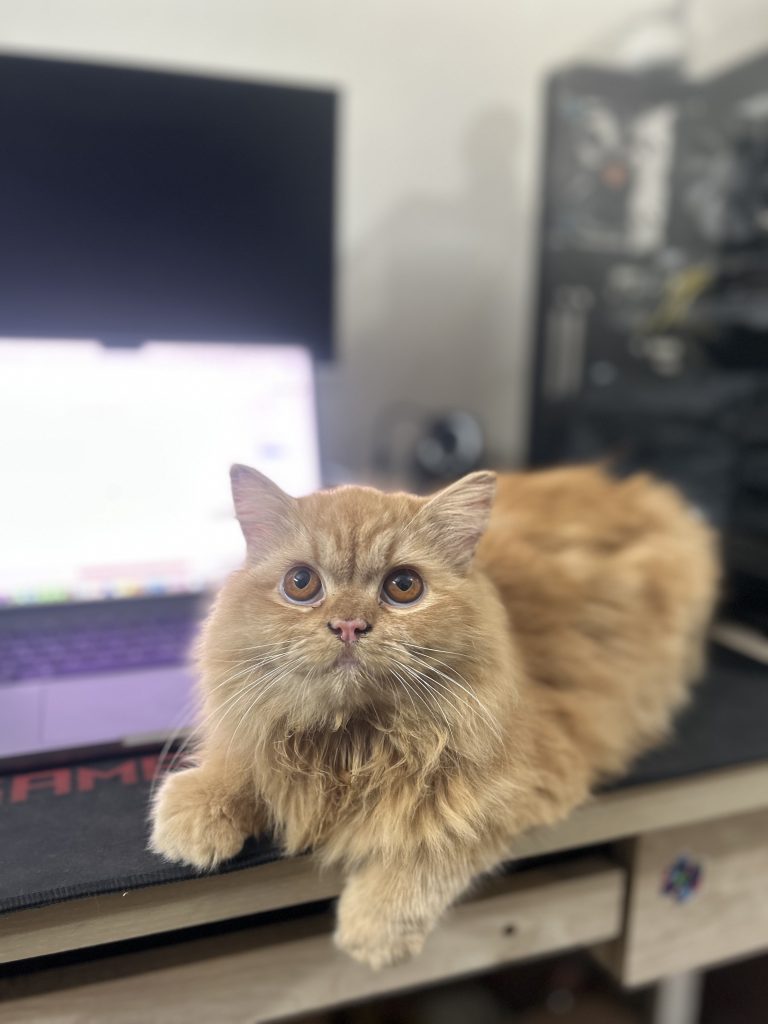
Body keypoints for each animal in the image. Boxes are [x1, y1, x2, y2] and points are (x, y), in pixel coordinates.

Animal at [151, 464, 720, 966]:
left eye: (403, 586)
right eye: (301, 583)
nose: (349, 625)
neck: (352, 741)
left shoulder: (522, 777)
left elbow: (433, 841)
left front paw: (373, 925)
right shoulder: (260, 726)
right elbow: (240, 761)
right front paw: (195, 814)